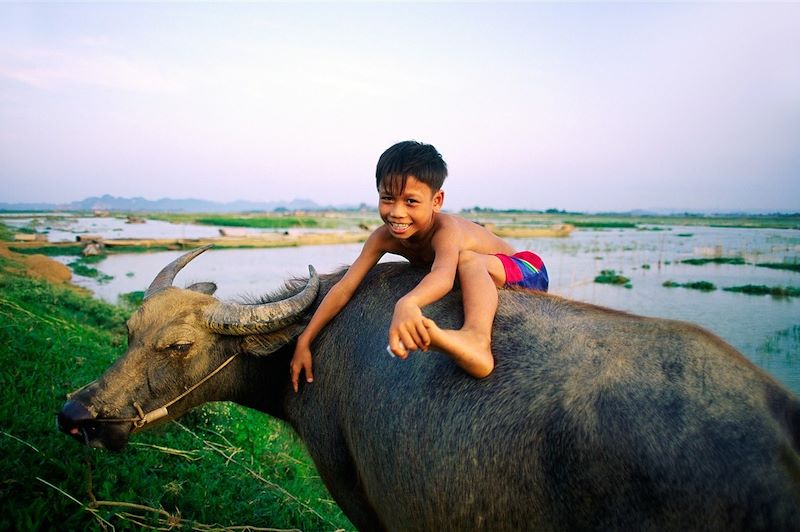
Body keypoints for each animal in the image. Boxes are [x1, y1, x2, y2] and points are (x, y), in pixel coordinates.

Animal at [57, 247, 800, 528]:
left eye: (179, 346)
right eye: (128, 330)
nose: (76, 412)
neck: (309, 343)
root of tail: (782, 422)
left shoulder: (356, 489)